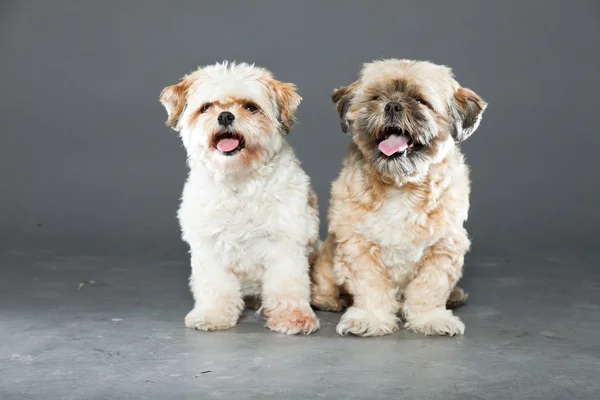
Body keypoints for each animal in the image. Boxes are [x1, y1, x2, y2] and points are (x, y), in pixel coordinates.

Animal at [158, 61, 318, 334]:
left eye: (251, 107)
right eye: (206, 107)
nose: (225, 116)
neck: (239, 180)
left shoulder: (285, 244)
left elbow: (287, 286)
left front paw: (293, 317)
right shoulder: (208, 247)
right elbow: (215, 286)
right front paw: (212, 315)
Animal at [312, 58, 486, 334]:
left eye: (420, 100)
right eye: (376, 97)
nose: (392, 105)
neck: (401, 184)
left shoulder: (443, 247)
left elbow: (430, 288)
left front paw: (430, 318)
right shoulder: (358, 244)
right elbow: (370, 286)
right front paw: (370, 318)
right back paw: (329, 300)